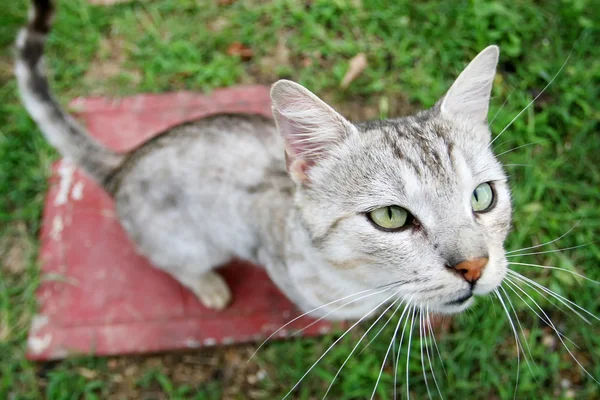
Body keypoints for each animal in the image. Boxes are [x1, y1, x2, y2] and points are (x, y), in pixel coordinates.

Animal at [16, 0, 508, 318]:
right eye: (390, 217)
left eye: (482, 197)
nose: (474, 266)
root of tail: (125, 163)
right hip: (183, 243)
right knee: (175, 264)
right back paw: (209, 285)